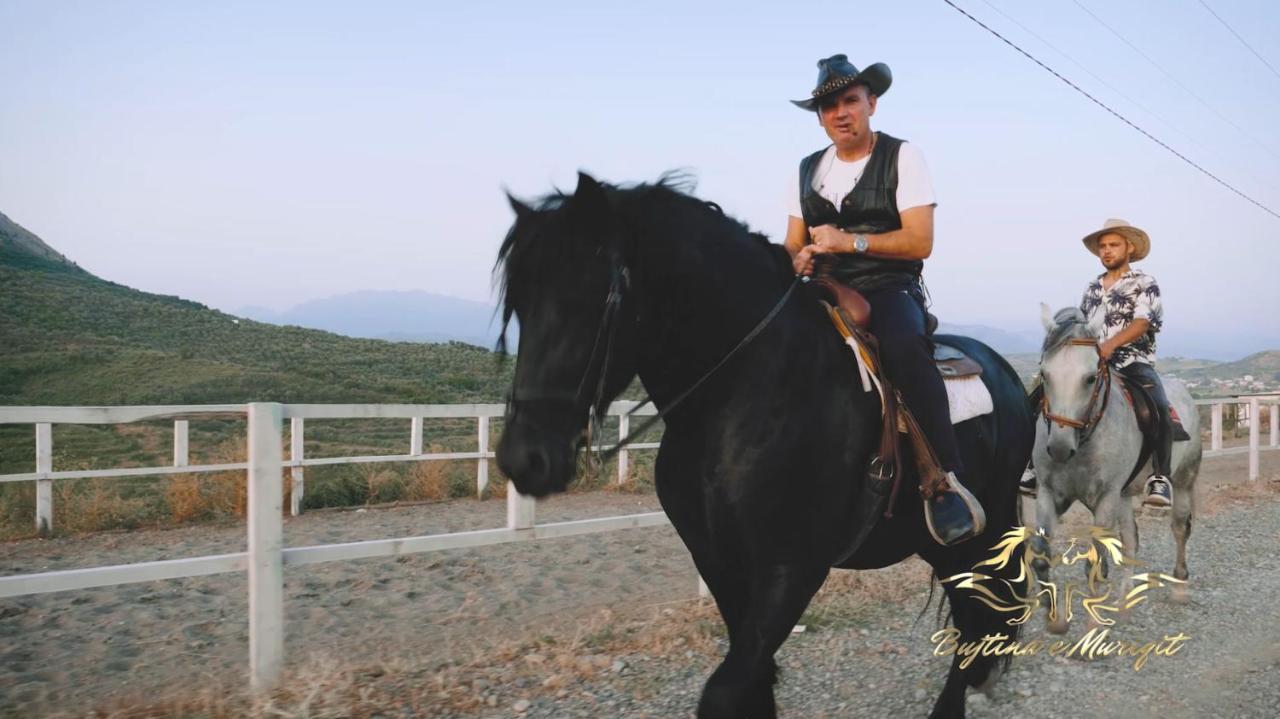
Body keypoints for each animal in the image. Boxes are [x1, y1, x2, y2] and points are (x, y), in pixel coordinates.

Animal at [494, 173, 1034, 716]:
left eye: (591, 298)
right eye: (517, 303)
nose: (526, 457)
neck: (744, 393)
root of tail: (1009, 376)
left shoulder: (791, 569)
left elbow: (726, 688)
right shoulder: (717, 562)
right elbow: (751, 680)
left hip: (983, 528)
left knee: (977, 608)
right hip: (932, 542)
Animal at [1024, 301, 1192, 621]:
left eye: (1090, 378)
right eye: (1044, 374)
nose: (1059, 448)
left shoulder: (1105, 498)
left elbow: (1094, 565)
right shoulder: (1050, 494)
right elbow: (1041, 556)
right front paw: (1052, 616)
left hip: (1184, 480)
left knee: (1179, 528)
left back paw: (1179, 587)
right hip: (1124, 495)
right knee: (1130, 539)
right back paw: (1124, 599)